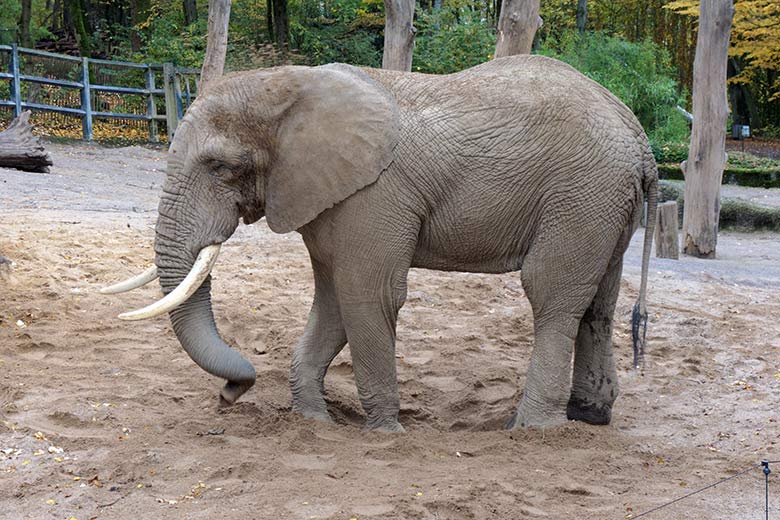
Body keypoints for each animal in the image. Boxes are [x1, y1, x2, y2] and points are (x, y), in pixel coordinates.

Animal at [100, 54, 656, 432]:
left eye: (220, 166)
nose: (228, 394)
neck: (290, 85)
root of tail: (639, 136)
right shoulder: (327, 197)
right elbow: (332, 299)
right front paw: (315, 422)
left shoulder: (373, 196)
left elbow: (368, 295)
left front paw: (386, 431)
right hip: (604, 204)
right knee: (598, 303)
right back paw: (589, 418)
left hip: (582, 194)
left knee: (552, 296)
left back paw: (530, 431)